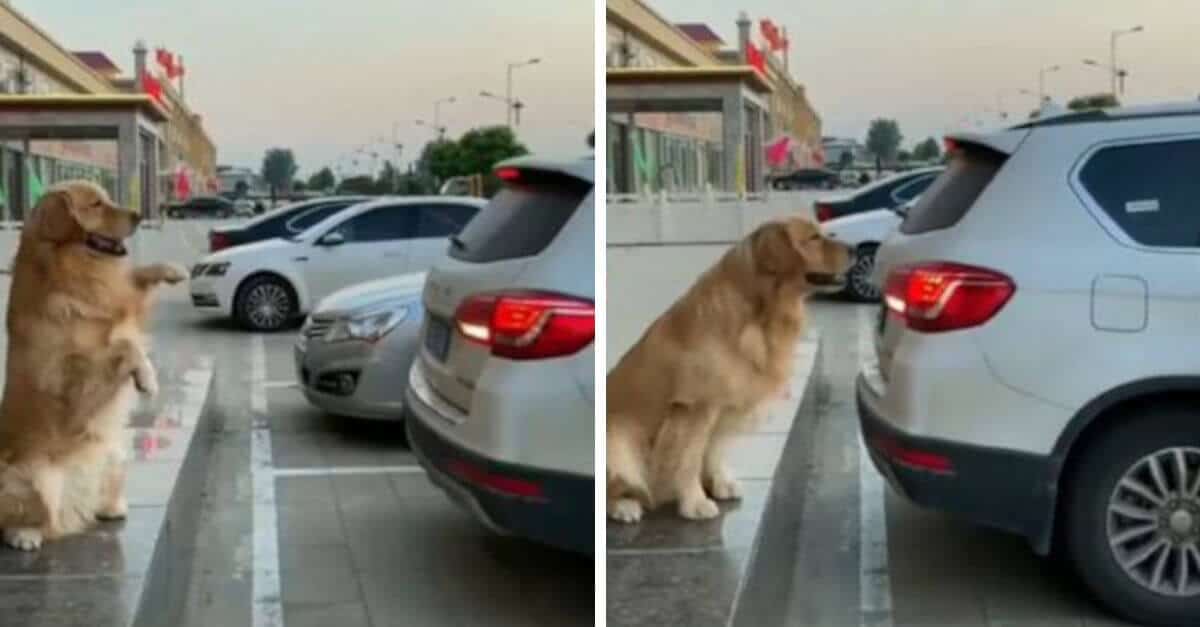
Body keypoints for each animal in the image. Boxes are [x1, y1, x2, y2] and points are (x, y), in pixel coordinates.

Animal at [0, 178, 184, 547]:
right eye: (96, 204)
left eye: (108, 197)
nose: (139, 214)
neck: (74, 270)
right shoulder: (72, 388)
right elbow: (125, 346)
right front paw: (147, 376)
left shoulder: (124, 307)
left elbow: (134, 282)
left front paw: (172, 270)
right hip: (32, 480)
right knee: (25, 518)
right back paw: (25, 533)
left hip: (115, 455)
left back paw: (110, 507)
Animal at [604, 217, 849, 518]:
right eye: (813, 238)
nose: (856, 250)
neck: (760, 312)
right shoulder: (695, 407)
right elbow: (688, 459)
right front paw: (695, 502)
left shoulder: (724, 404)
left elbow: (714, 450)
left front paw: (719, 483)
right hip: (618, 433)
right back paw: (623, 505)